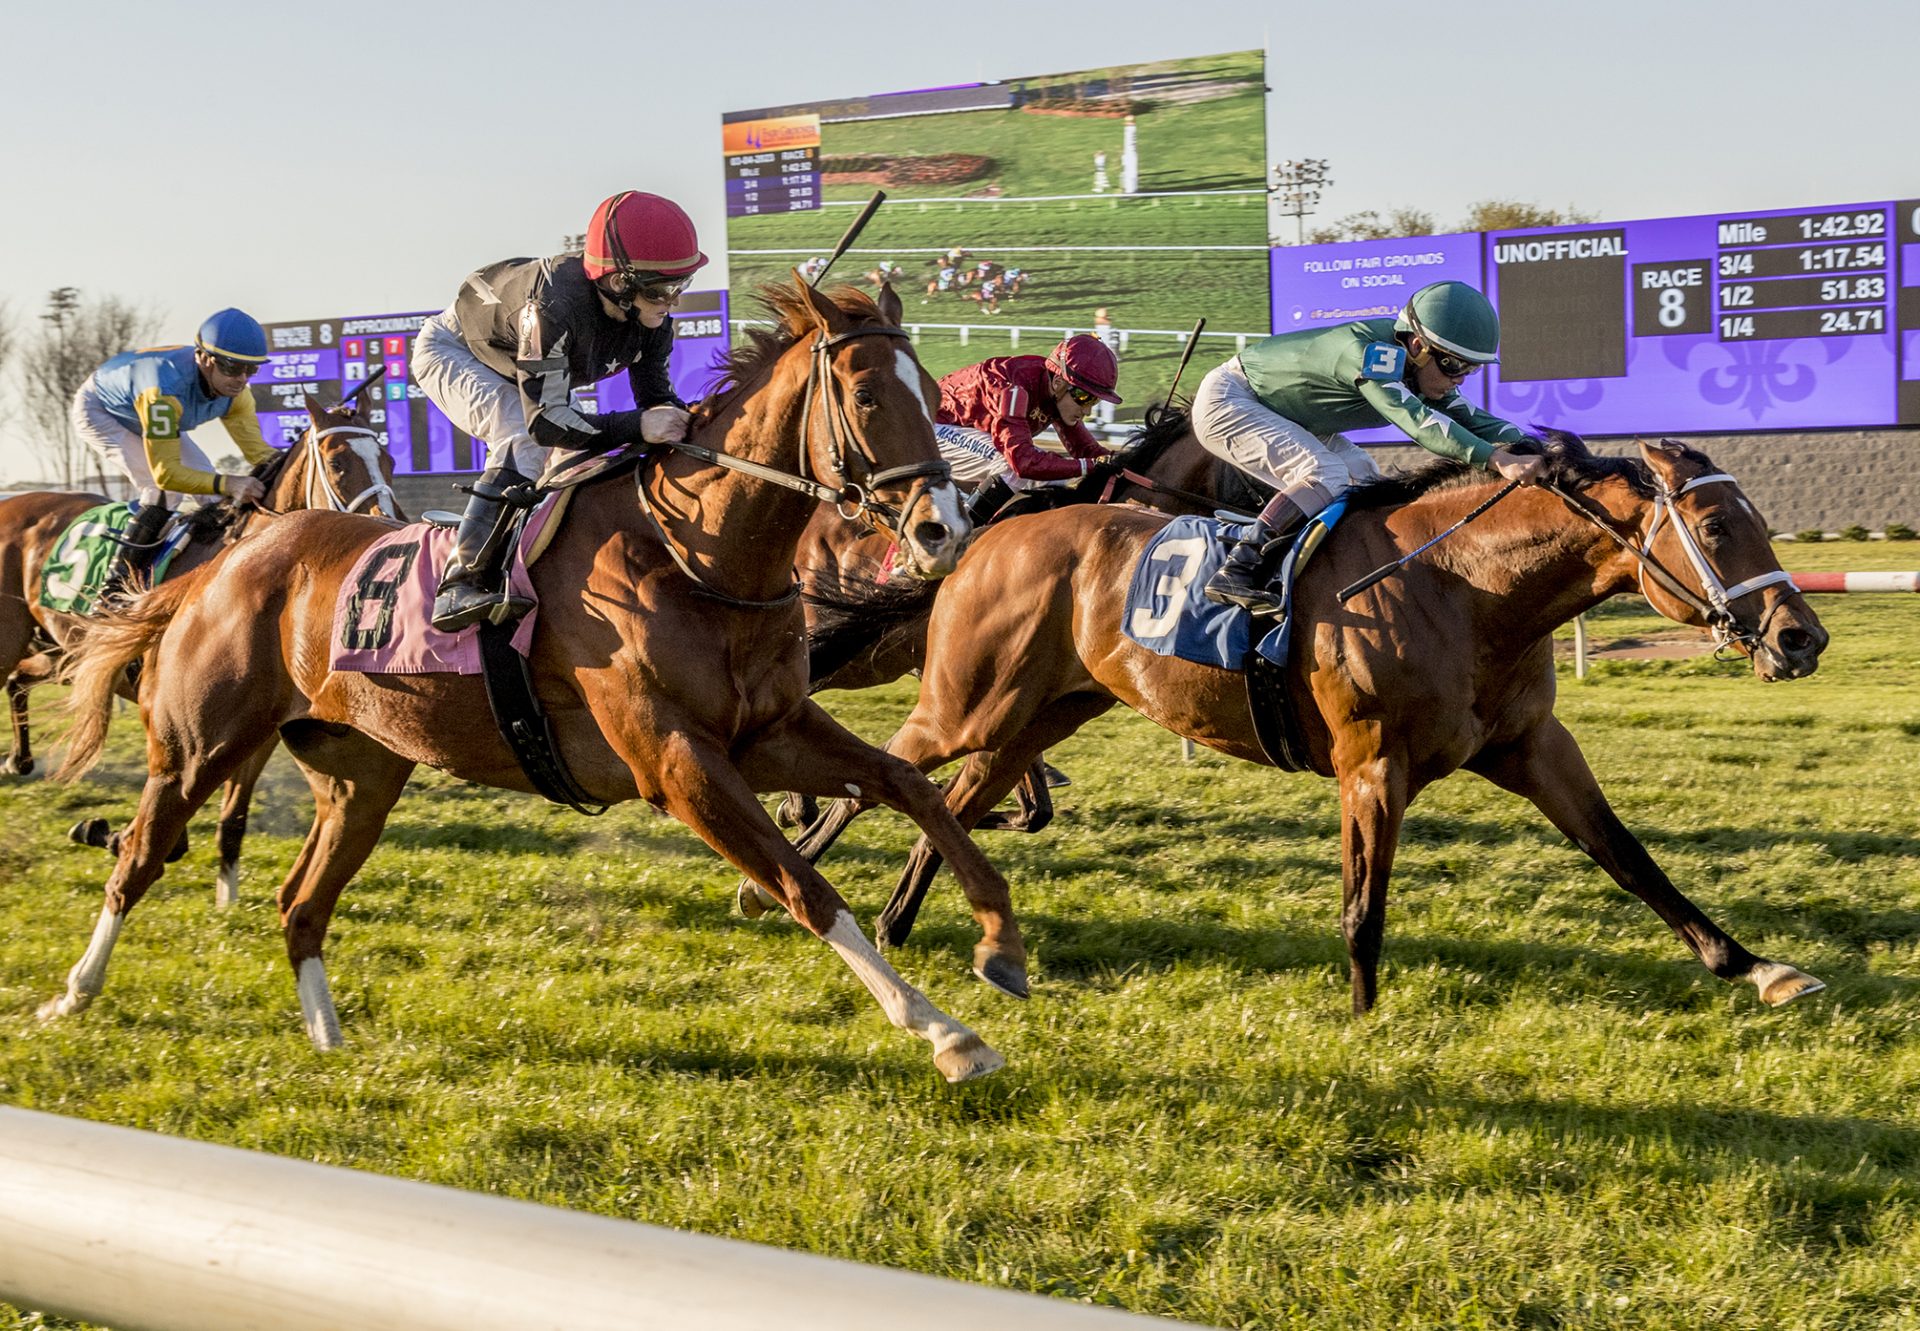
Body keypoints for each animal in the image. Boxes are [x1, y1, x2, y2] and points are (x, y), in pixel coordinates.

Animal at [2, 389, 401, 898]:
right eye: (336, 462)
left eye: (389, 459)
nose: (391, 526)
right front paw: (109, 834)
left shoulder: (262, 724)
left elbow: (232, 816)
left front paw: (226, 894)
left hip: (67, 652)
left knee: (18, 679)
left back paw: (20, 759)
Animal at [48, 280, 1021, 1083]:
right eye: (866, 395)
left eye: (936, 396)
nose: (944, 529)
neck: (695, 554)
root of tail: (230, 559)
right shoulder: (677, 764)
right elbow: (805, 889)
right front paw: (943, 1030)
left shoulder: (770, 730)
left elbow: (907, 783)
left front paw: (999, 941)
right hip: (198, 746)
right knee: (138, 858)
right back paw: (72, 994)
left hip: (361, 775)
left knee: (300, 903)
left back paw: (327, 1035)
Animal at [775, 430, 1827, 1014]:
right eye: (1720, 528)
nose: (1801, 635)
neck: (1467, 588)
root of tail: (988, 530)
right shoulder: (1373, 764)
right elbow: (1364, 907)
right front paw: (1365, 1021)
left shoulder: (1533, 747)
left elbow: (1631, 857)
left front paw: (1753, 965)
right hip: (967, 700)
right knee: (890, 768)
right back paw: (794, 871)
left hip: (1045, 711)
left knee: (952, 799)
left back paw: (909, 924)